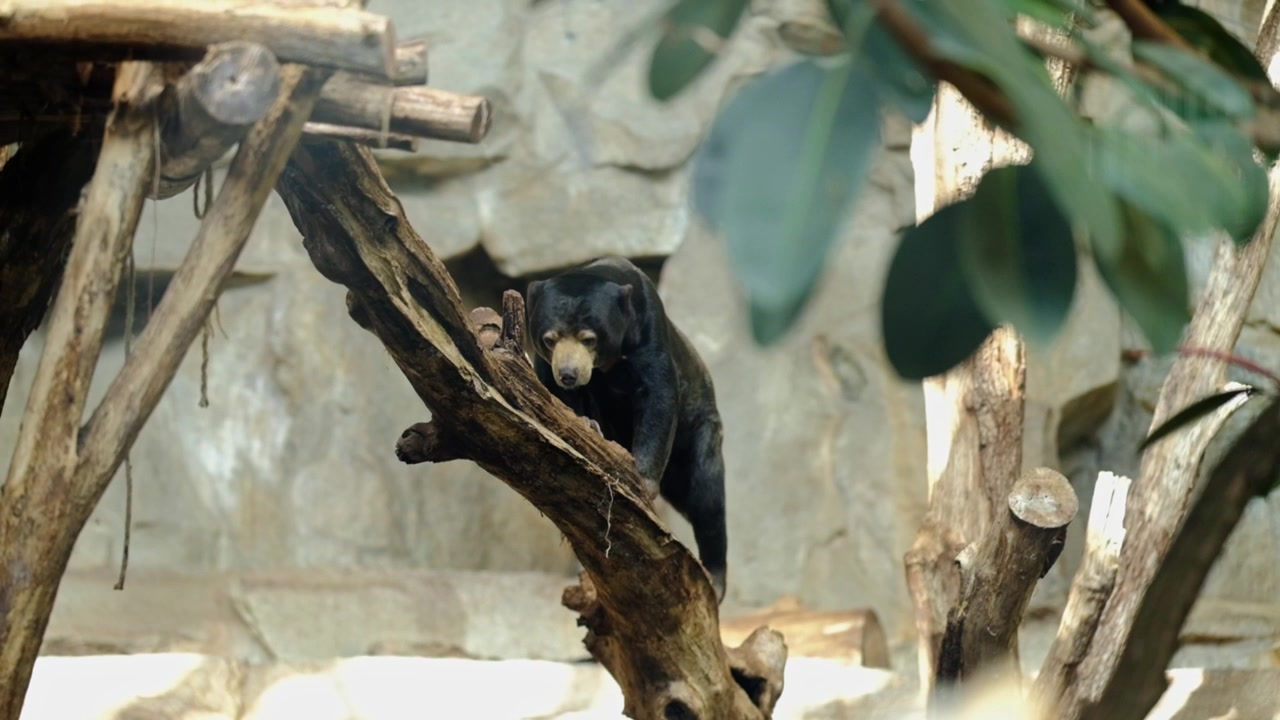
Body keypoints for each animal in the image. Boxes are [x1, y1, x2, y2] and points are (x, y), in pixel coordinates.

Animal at [525, 256, 728, 603]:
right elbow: (557, 396)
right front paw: (586, 423)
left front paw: (643, 482)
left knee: (706, 494)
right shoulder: (548, 365)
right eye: (549, 339)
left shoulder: (650, 333)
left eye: (589, 338)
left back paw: (715, 580)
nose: (569, 373)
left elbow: (659, 396)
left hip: (700, 429)